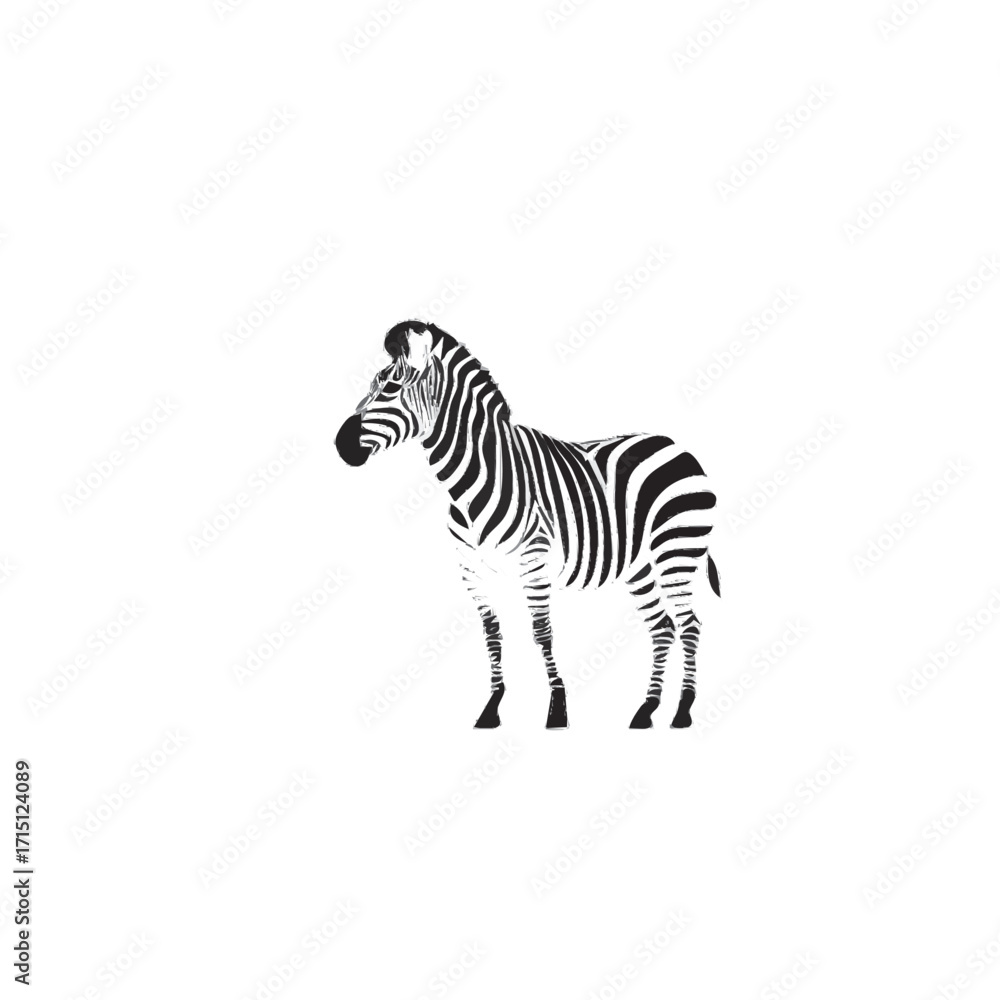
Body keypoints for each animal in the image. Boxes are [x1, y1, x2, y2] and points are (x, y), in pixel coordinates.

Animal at [336, 320, 721, 729]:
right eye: (372, 384)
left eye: (391, 387)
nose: (340, 444)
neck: (472, 483)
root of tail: (676, 445)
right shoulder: (472, 570)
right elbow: (492, 632)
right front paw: (492, 707)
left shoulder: (533, 559)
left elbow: (541, 632)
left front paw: (558, 708)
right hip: (640, 566)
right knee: (662, 627)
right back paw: (646, 710)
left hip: (677, 551)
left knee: (689, 625)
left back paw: (682, 710)